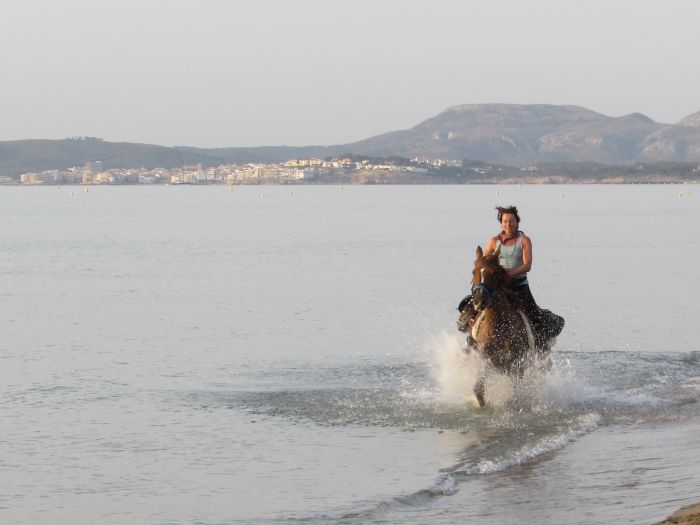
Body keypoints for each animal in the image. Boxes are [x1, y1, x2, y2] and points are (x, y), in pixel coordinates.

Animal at [456, 246, 544, 406]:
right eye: (473, 271)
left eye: (494, 272)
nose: (479, 301)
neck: (500, 327)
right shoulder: (488, 361)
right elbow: (478, 390)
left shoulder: (516, 365)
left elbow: (514, 392)